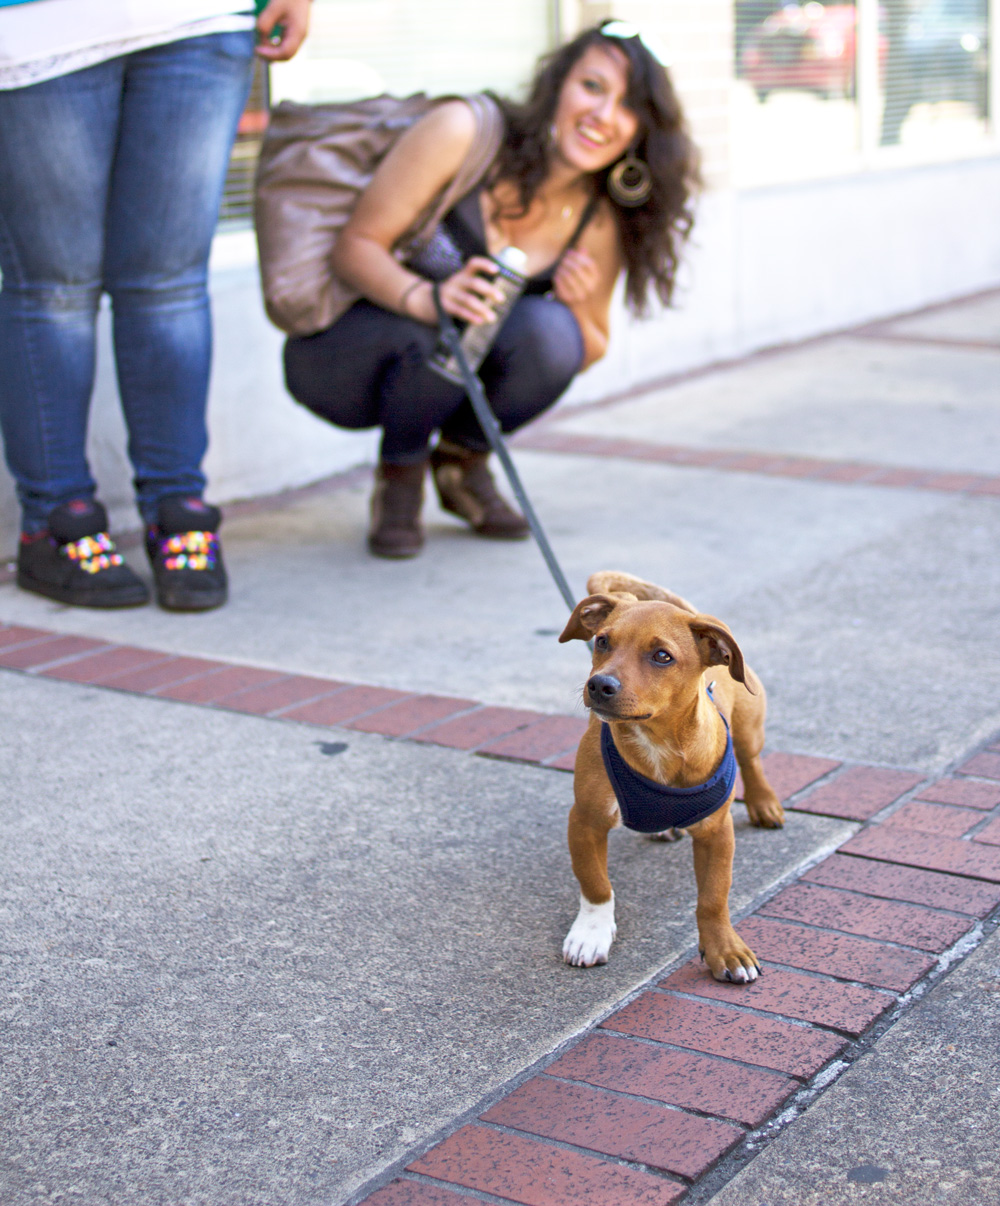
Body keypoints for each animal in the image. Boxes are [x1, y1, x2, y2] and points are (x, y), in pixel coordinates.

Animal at [557, 566, 786, 979]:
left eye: (662, 656)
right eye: (602, 641)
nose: (599, 684)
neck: (656, 743)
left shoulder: (717, 832)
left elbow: (714, 896)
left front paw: (725, 949)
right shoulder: (585, 820)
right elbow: (596, 884)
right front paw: (591, 934)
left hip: (749, 727)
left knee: (752, 761)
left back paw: (764, 804)